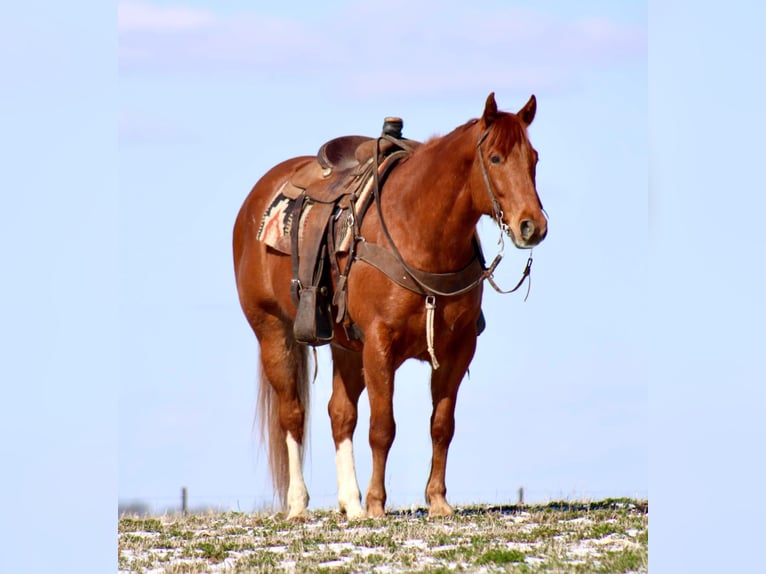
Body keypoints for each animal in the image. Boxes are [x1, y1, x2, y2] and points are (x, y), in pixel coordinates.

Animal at [231, 93, 548, 520]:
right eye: (495, 158)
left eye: (534, 158)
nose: (533, 226)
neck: (419, 233)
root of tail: (255, 203)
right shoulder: (380, 345)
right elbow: (383, 427)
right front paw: (378, 504)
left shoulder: (458, 348)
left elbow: (441, 425)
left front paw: (437, 501)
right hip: (273, 332)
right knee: (293, 414)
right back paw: (299, 505)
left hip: (345, 346)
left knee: (340, 414)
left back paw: (351, 503)